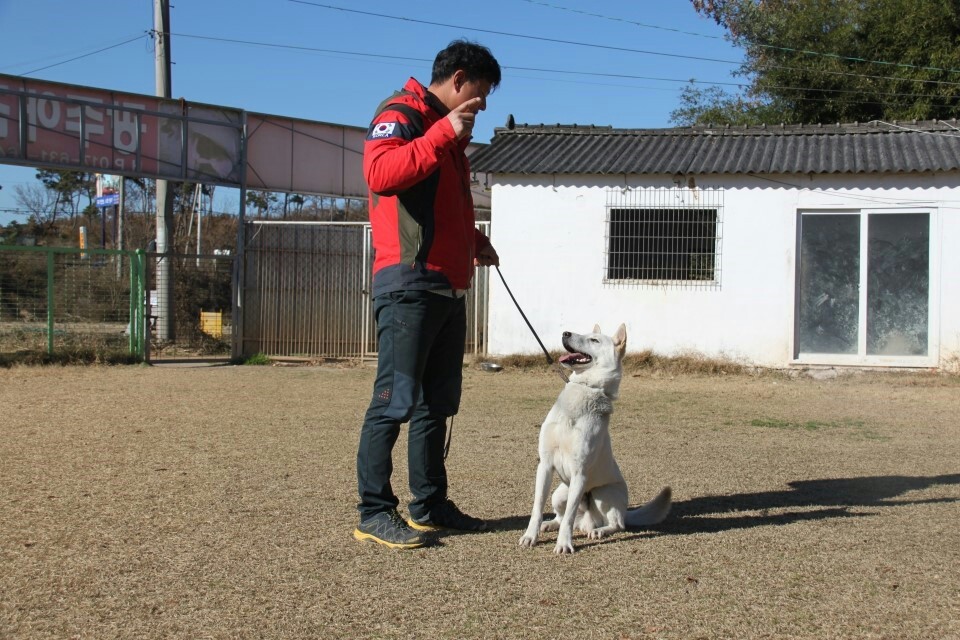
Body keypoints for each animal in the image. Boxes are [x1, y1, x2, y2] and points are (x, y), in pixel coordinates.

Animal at [520, 324, 672, 556]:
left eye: (594, 340)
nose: (565, 333)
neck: (585, 388)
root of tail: (586, 522)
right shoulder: (544, 465)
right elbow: (537, 508)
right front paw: (530, 536)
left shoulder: (579, 472)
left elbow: (569, 516)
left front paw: (563, 544)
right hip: (559, 493)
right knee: (562, 517)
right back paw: (551, 524)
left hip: (602, 493)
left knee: (616, 524)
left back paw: (600, 531)